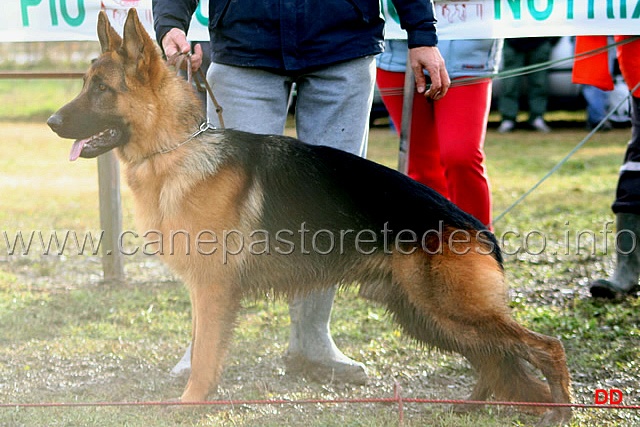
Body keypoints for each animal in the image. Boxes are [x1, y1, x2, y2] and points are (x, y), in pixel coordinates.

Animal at [47, 8, 572, 426]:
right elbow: (201, 351)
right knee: (498, 361)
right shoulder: (205, 292)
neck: (176, 149)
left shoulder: (213, 291)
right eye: (86, 86)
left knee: (544, 347)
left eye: (101, 90)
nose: (52, 122)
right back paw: (477, 407)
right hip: (428, 316)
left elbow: (204, 357)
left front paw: (191, 404)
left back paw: (558, 411)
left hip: (450, 311)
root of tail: (477, 228)